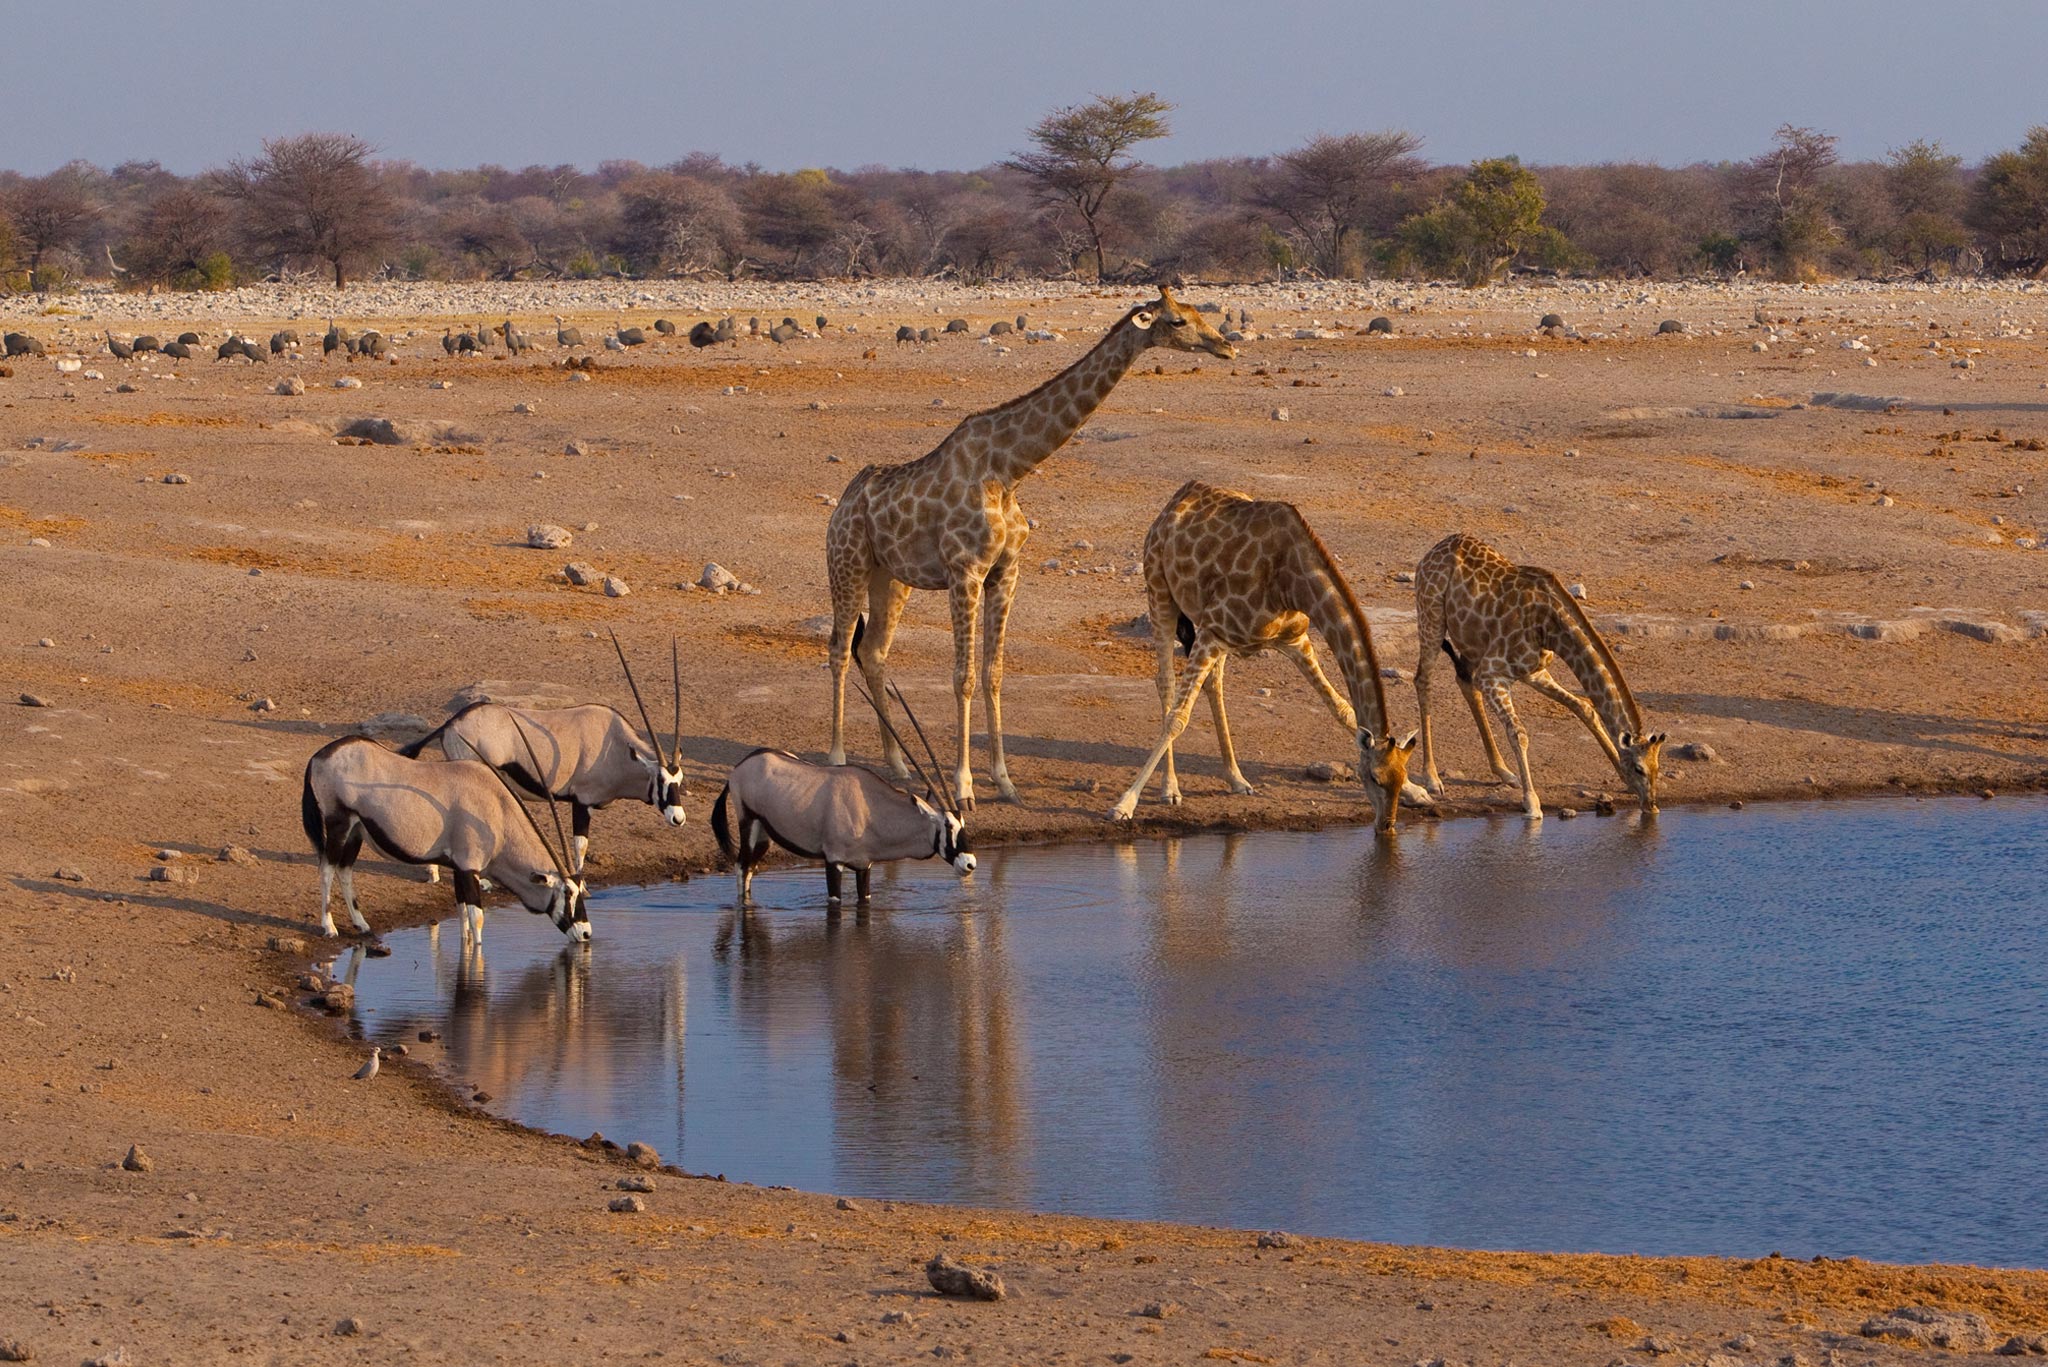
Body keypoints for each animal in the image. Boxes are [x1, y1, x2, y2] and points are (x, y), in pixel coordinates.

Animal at [827, 282, 1228, 807]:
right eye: (1177, 321)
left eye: (1199, 312)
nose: (1226, 345)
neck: (1009, 469)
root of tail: (842, 502)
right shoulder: (965, 571)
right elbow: (963, 676)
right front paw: (964, 787)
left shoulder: (1006, 572)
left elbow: (993, 672)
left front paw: (1004, 781)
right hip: (847, 564)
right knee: (839, 648)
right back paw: (837, 756)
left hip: (891, 578)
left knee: (873, 652)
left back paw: (898, 765)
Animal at [1105, 485, 1425, 840]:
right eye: (1373, 779)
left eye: (1399, 777)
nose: (1386, 827)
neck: (1291, 582)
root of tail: (1177, 498)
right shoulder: (1213, 631)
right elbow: (1178, 718)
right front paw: (1124, 805)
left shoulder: (1294, 640)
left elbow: (1343, 710)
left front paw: (1418, 791)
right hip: (1160, 592)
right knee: (1166, 683)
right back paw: (1170, 788)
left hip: (1214, 632)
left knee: (1213, 683)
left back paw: (1236, 779)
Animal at [1417, 528, 1671, 819]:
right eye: (1639, 768)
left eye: (1658, 767)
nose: (1651, 805)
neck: (1551, 627)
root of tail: (1432, 552)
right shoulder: (1493, 674)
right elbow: (1519, 733)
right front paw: (1532, 802)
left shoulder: (1534, 672)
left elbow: (1585, 707)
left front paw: (1620, 773)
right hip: (1432, 619)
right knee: (1423, 680)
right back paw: (1432, 778)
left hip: (1471, 642)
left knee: (1465, 681)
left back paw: (1504, 772)